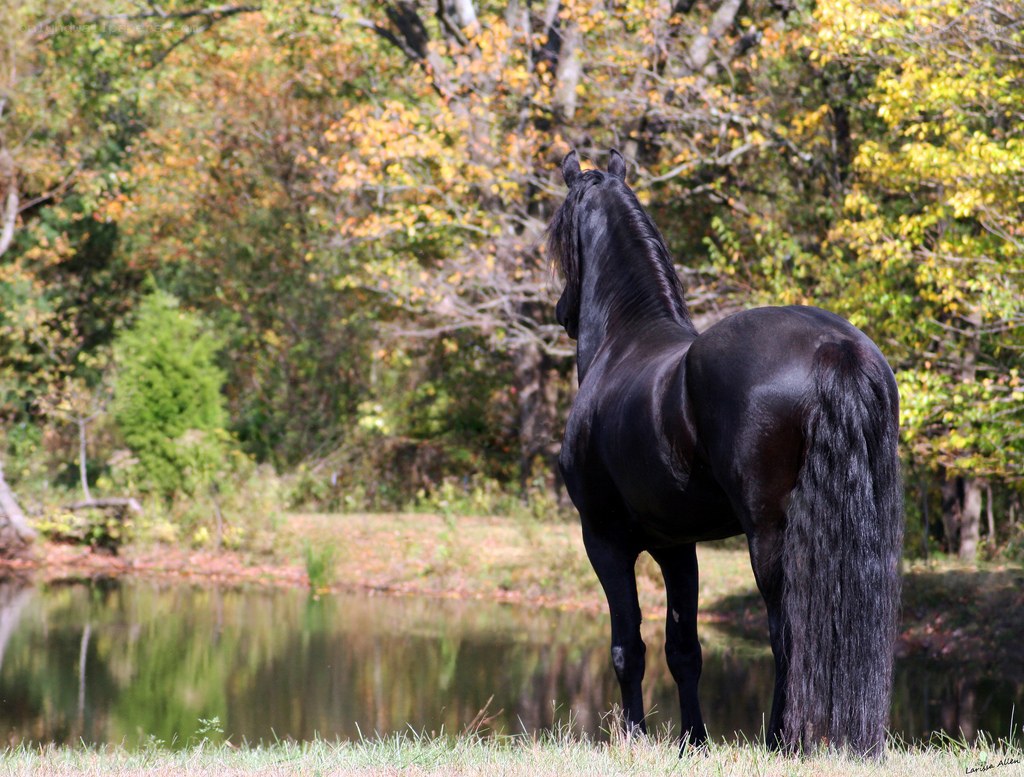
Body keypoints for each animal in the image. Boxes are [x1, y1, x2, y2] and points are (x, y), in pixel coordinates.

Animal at [547, 150, 903, 756]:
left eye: (558, 233)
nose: (562, 310)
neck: (624, 342)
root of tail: (837, 349)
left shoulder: (603, 539)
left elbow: (628, 648)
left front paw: (636, 738)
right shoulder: (676, 546)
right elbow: (684, 650)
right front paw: (693, 740)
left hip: (769, 536)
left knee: (787, 635)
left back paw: (781, 740)